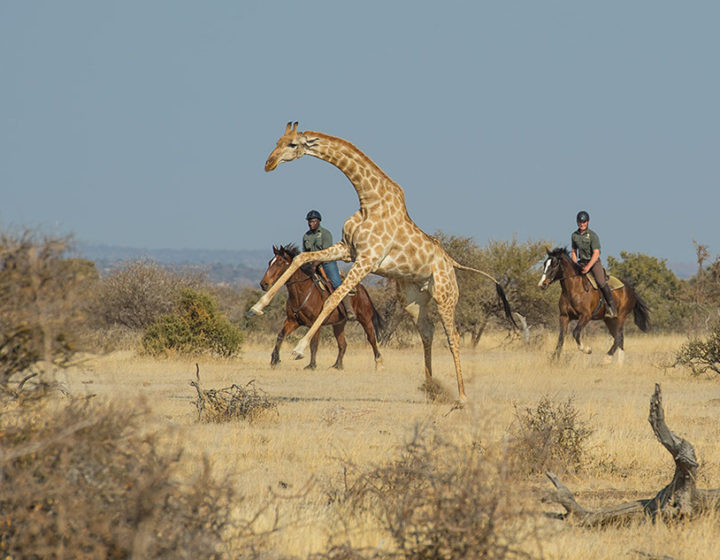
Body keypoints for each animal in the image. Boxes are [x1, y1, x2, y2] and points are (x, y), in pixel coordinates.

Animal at [248, 122, 512, 402]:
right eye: (277, 141)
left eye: (292, 144)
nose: (269, 163)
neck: (369, 201)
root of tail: (452, 262)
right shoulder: (347, 250)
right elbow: (300, 258)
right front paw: (257, 307)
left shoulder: (367, 259)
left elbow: (332, 299)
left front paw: (298, 349)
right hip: (412, 299)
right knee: (427, 332)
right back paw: (430, 389)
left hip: (445, 296)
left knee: (454, 336)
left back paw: (462, 396)